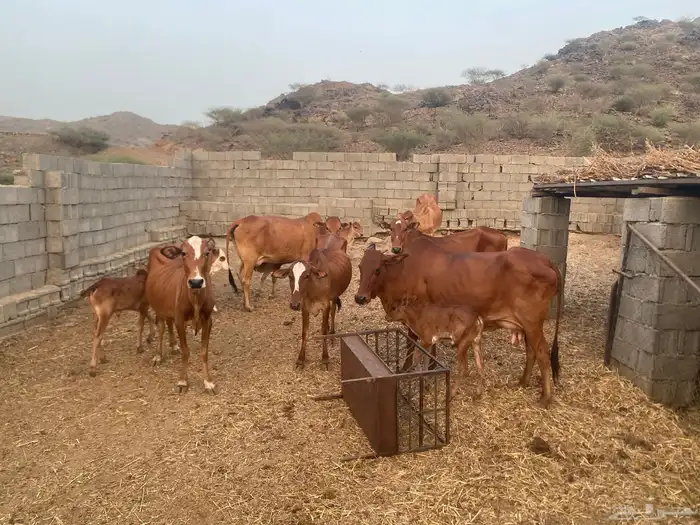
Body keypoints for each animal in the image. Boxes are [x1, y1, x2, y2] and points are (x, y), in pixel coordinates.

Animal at [145, 235, 220, 394]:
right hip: (158, 307)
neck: (195, 298)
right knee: (161, 328)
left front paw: (208, 382)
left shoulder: (208, 319)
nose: (196, 282)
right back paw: (158, 355)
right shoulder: (180, 319)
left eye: (207, 252)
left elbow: (204, 351)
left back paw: (174, 346)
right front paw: (183, 381)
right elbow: (186, 351)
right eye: (184, 253)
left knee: (168, 323)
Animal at [354, 242, 562, 408]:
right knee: (531, 351)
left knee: (542, 353)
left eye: (377, 269)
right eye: (360, 267)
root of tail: (545, 260)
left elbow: (414, 343)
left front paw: (415, 370)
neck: (404, 272)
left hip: (532, 323)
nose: (359, 297)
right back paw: (522, 382)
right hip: (526, 326)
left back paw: (545, 398)